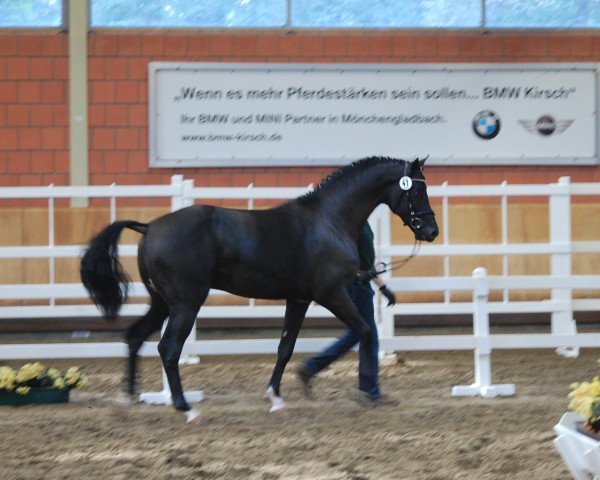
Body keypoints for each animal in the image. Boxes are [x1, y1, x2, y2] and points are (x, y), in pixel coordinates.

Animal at [81, 157, 436, 420]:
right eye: (417, 191)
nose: (431, 230)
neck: (328, 220)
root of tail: (150, 226)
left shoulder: (298, 299)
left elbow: (285, 348)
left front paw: (275, 397)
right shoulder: (331, 294)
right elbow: (363, 332)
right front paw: (364, 394)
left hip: (162, 303)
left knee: (135, 337)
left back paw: (128, 399)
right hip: (186, 303)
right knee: (168, 349)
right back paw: (186, 408)